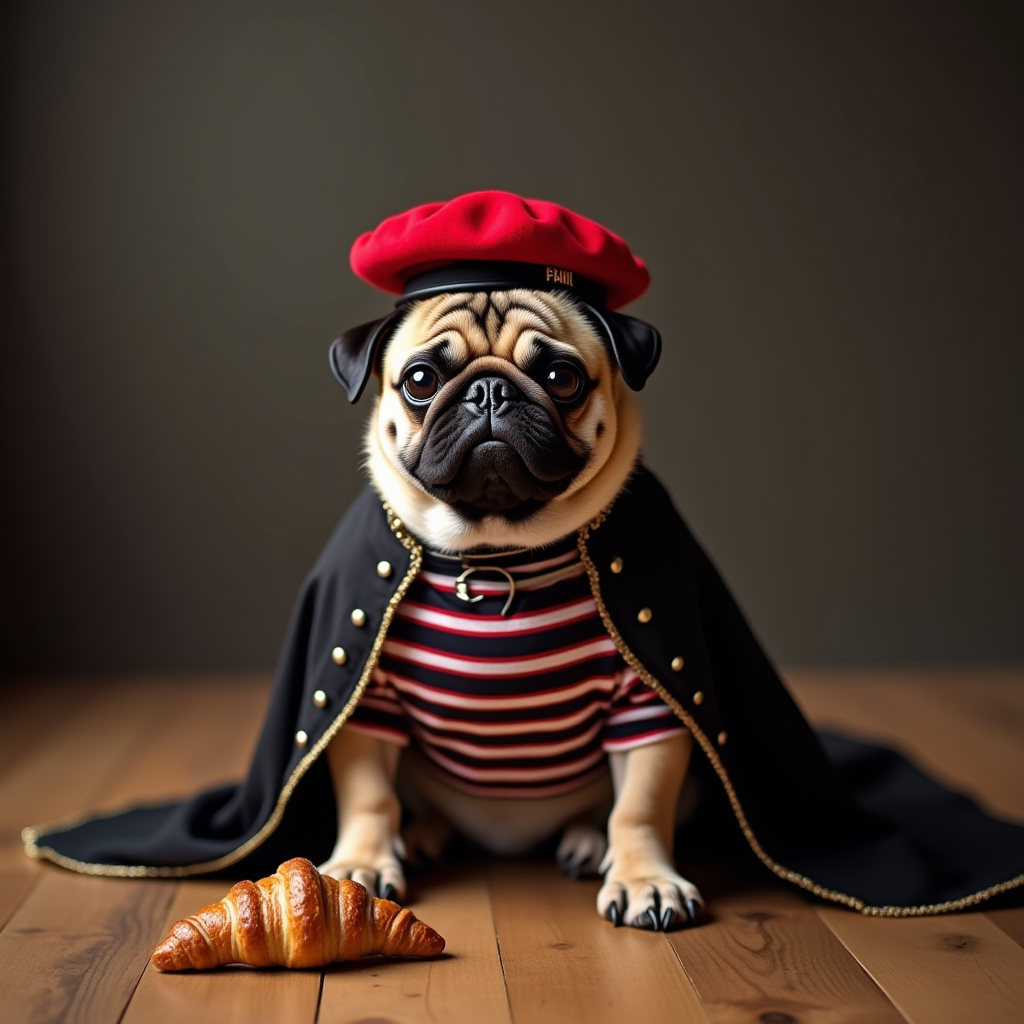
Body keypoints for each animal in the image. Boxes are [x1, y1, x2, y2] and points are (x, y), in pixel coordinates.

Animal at [317, 286, 704, 929]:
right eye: (420, 380)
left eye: (561, 378)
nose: (490, 391)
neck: (497, 557)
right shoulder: (367, 700)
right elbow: (369, 795)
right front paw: (361, 867)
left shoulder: (651, 697)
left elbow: (640, 806)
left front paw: (646, 881)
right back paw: (419, 838)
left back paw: (588, 842)